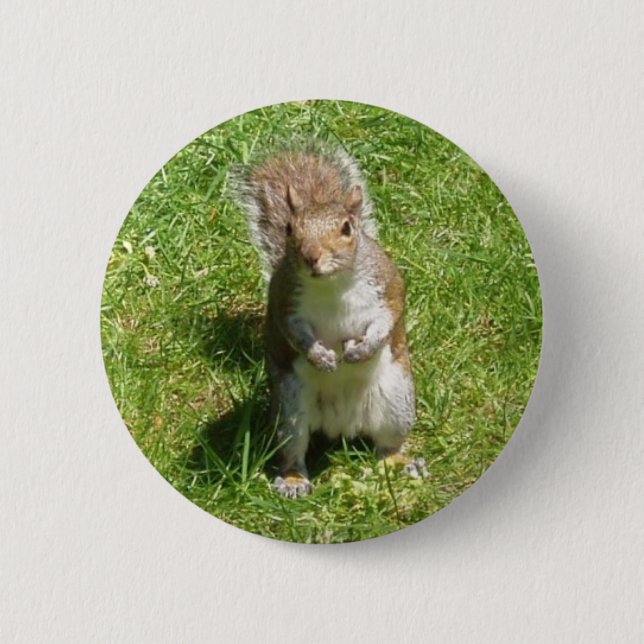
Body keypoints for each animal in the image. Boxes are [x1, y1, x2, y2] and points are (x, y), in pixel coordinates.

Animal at [231, 142, 425, 498]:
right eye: (289, 229)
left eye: (347, 228)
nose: (311, 256)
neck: (332, 284)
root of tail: (342, 425)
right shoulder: (285, 302)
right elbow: (294, 334)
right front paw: (320, 357)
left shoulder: (387, 287)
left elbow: (387, 319)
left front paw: (361, 350)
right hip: (289, 409)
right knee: (293, 452)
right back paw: (293, 481)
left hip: (397, 400)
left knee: (387, 446)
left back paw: (402, 464)